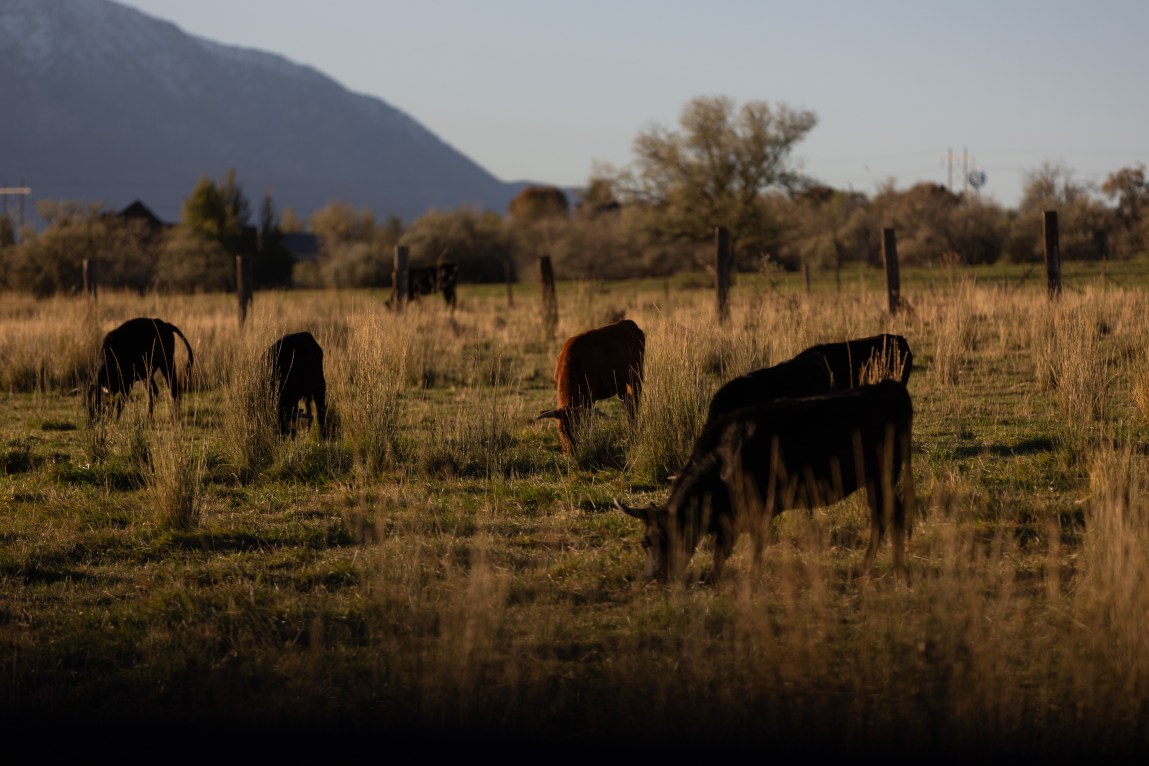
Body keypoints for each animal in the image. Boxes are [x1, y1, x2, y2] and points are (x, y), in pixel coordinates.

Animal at [537, 318, 645, 454]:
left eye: (578, 428)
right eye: (561, 430)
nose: (570, 453)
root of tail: (629, 323)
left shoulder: (590, 397)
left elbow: (589, 422)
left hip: (636, 378)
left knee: (635, 404)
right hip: (621, 385)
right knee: (628, 405)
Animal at [617, 379, 914, 584]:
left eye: (649, 542)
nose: (650, 578)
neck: (722, 456)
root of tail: (890, 387)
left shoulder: (757, 507)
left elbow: (749, 545)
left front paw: (748, 577)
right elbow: (722, 550)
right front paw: (716, 578)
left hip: (882, 476)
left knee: (890, 515)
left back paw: (890, 569)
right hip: (875, 480)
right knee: (885, 516)